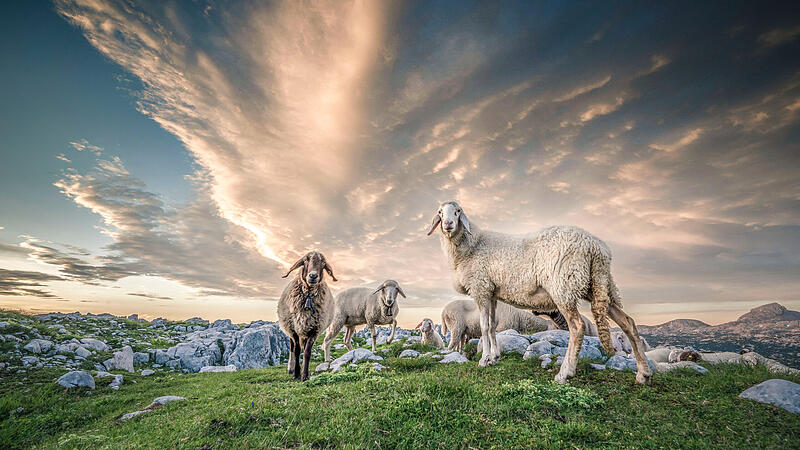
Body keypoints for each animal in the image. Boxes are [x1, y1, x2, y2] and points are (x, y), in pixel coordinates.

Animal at [276, 251, 336, 382]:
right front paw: (296, 373)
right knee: (291, 347)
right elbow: (297, 351)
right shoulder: (293, 329)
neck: (308, 295)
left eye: (323, 263)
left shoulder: (315, 329)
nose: (313, 276)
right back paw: (290, 368)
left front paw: (304, 375)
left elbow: (307, 352)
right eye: (305, 261)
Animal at [428, 202, 652, 384]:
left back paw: (565, 373)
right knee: (628, 322)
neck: (471, 245)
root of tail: (596, 248)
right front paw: (494, 358)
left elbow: (484, 327)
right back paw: (643, 374)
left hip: (563, 285)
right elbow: (491, 327)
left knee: (577, 327)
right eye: (440, 212)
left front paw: (484, 360)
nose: (448, 224)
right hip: (598, 285)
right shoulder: (491, 292)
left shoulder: (480, 287)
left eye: (457, 211)